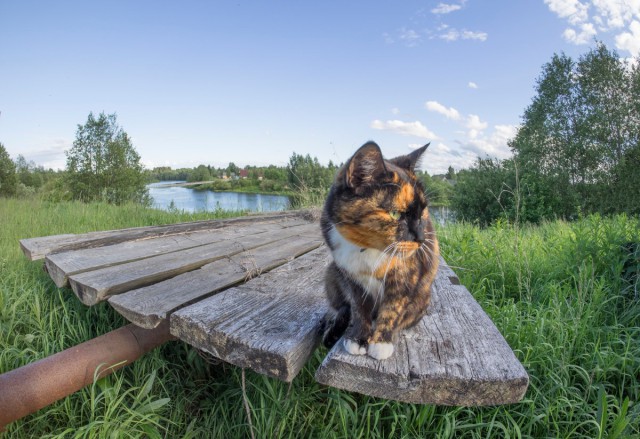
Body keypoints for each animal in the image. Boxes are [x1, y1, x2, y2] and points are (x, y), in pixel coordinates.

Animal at [320, 142, 440, 360]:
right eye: (395, 214)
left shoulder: (406, 276)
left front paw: (381, 342)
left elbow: (393, 309)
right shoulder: (352, 278)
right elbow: (359, 309)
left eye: (423, 212)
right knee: (342, 306)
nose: (421, 239)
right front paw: (359, 338)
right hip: (331, 274)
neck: (368, 250)